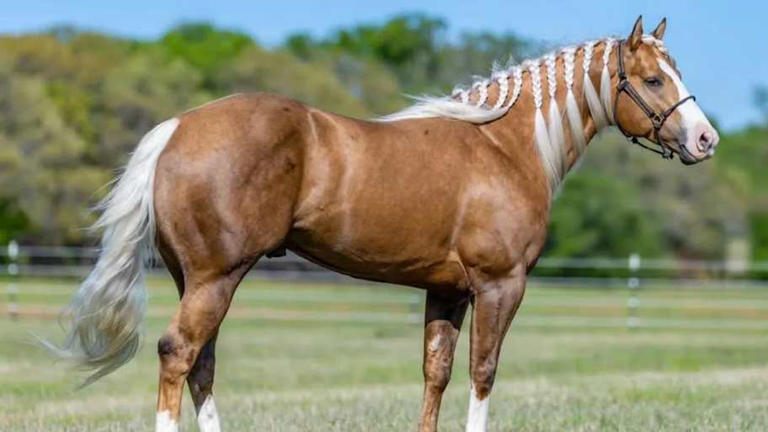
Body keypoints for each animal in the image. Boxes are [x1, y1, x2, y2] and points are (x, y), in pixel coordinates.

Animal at [51, 16, 718, 432]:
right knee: (179, 354)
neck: (504, 146)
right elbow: (483, 373)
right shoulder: (500, 285)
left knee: (201, 365)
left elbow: (435, 376)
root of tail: (178, 127)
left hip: (196, 280)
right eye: (653, 79)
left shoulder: (447, 291)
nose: (705, 140)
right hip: (216, 277)